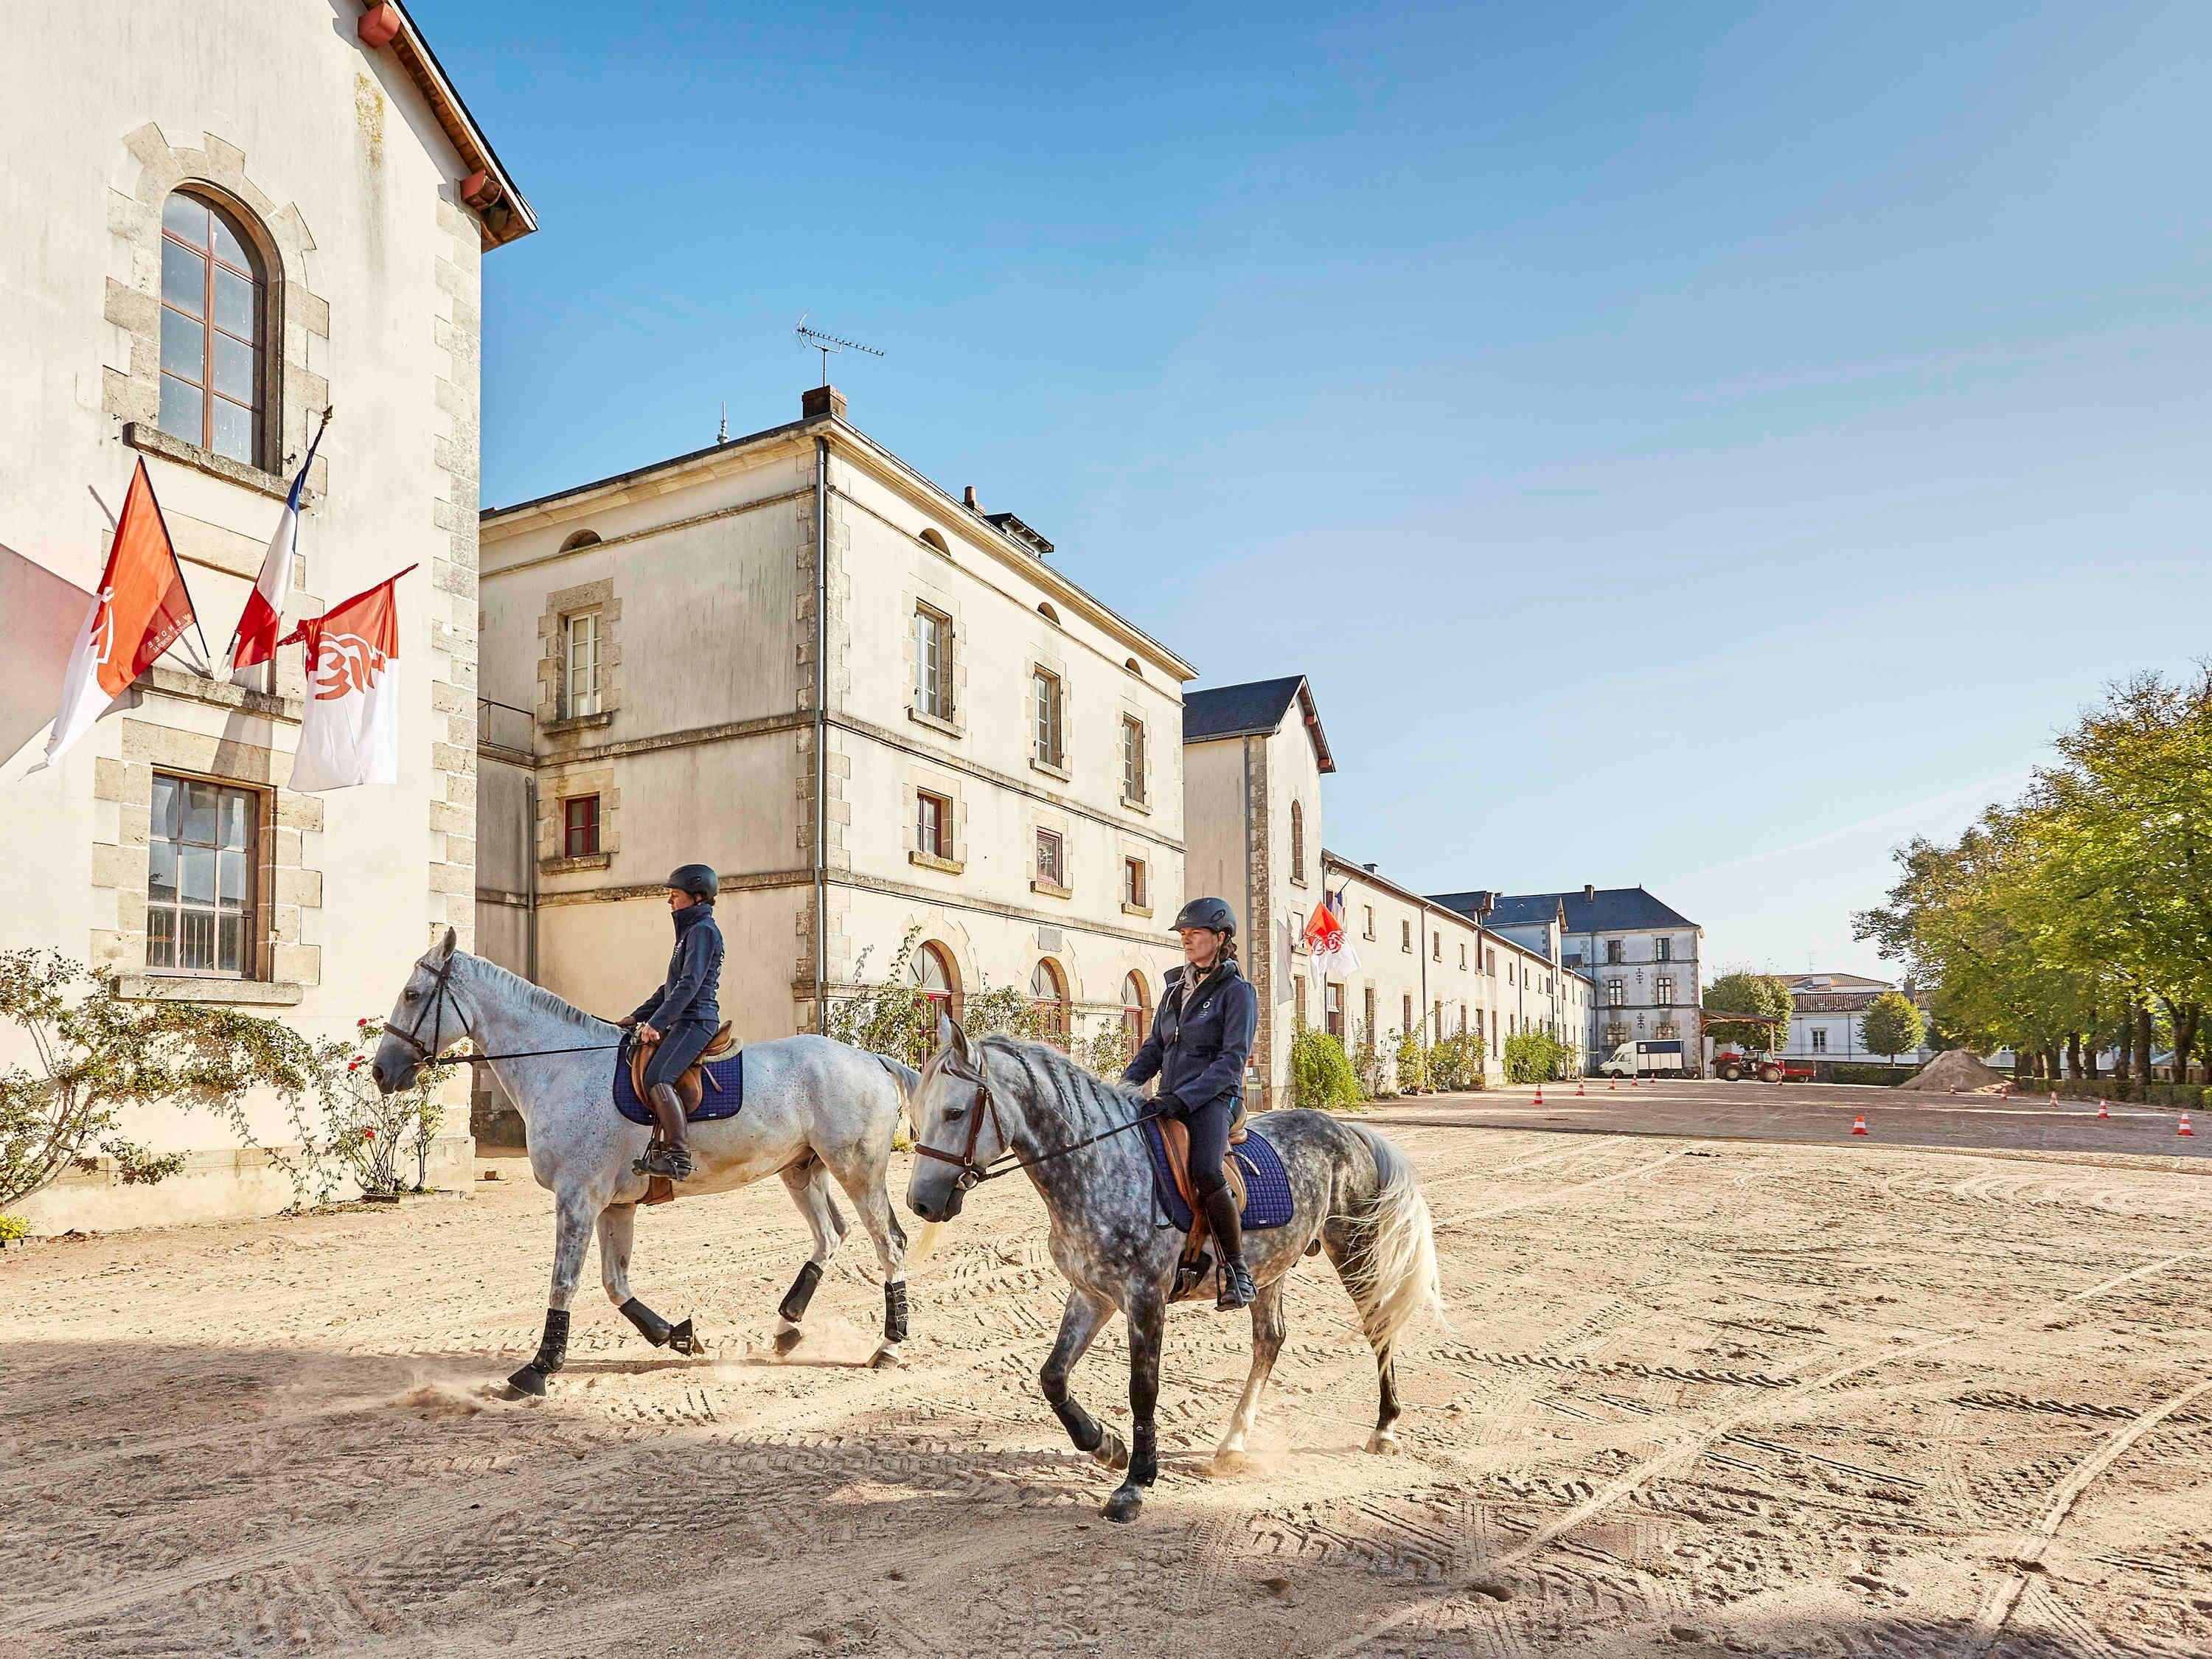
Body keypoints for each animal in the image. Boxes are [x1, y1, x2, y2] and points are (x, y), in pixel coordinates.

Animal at [372, 929, 916, 1398]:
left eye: (413, 995)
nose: (381, 1072)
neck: (562, 1066)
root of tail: (872, 1059)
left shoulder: (579, 1198)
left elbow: (564, 1282)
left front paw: (538, 1370)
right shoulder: (615, 1204)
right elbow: (616, 1285)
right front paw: (678, 1335)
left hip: (856, 1170)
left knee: (888, 1242)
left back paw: (888, 1346)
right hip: (801, 1170)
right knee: (831, 1234)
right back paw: (786, 1327)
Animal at [907, 1026, 1442, 1531]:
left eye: (955, 1112)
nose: (921, 1203)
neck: (1100, 1166)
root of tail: (1346, 1129)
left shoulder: (1146, 1297)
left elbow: (1142, 1389)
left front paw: (1135, 1483)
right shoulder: (1092, 1295)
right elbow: (1053, 1376)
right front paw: (1105, 1445)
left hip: (1353, 1248)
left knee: (1378, 1327)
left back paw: (1385, 1428)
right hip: (1270, 1268)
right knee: (1270, 1341)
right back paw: (1233, 1443)